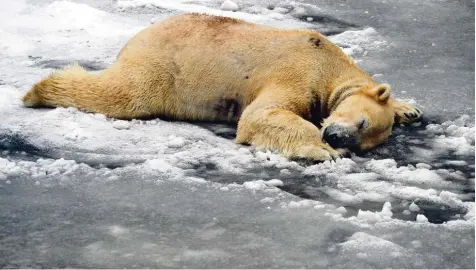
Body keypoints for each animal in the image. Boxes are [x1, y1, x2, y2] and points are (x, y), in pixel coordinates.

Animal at [23, 13, 424, 160]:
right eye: (361, 123)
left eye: (364, 138)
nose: (338, 138)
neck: (328, 62)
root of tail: (139, 35)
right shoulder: (297, 69)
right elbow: (261, 115)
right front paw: (321, 150)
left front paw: (410, 108)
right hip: (164, 67)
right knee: (124, 93)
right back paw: (38, 90)